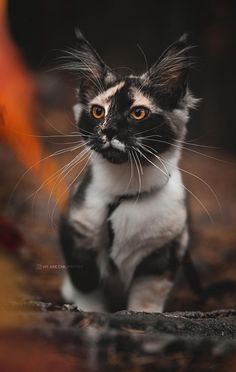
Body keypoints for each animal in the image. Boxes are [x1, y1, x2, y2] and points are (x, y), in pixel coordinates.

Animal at [58, 31, 198, 310]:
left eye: (138, 113)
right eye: (98, 111)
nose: (109, 130)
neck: (125, 191)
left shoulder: (163, 252)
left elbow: (146, 297)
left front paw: (141, 314)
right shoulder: (77, 234)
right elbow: (87, 286)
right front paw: (91, 312)